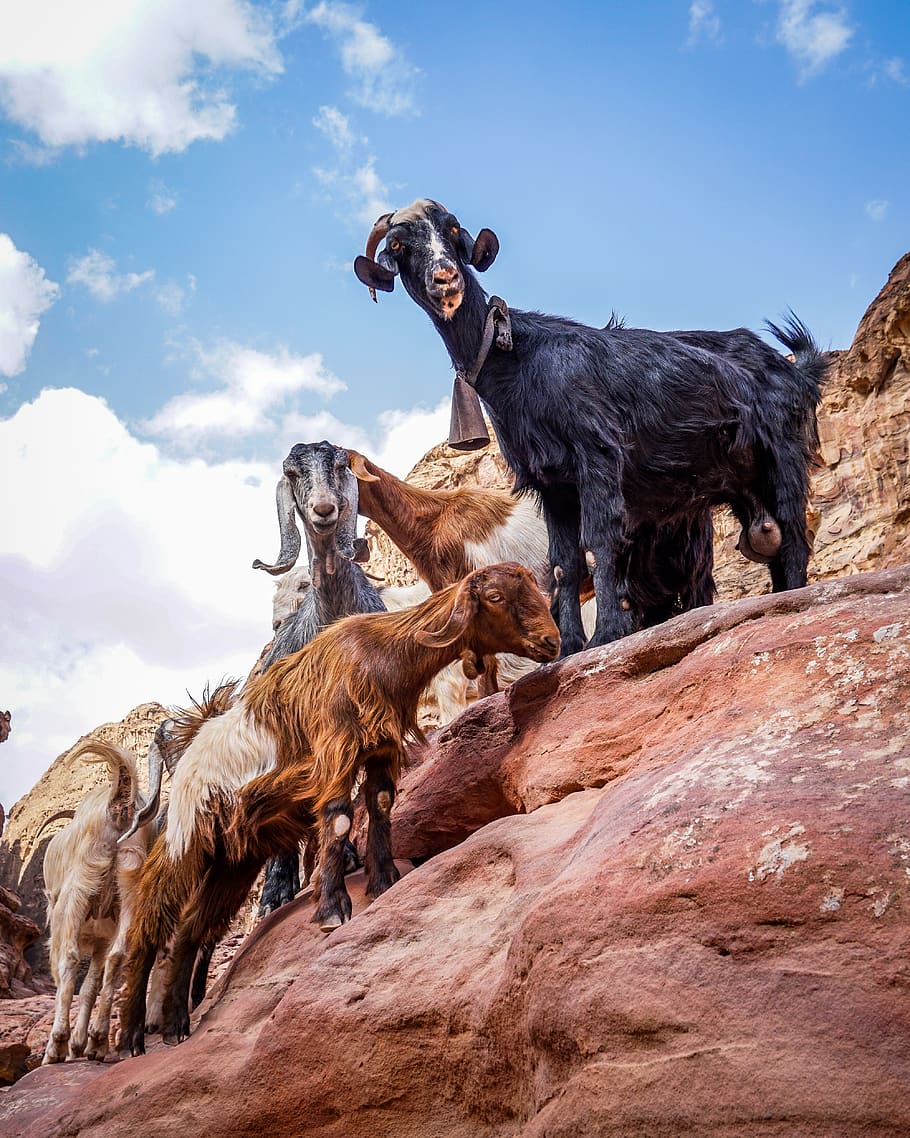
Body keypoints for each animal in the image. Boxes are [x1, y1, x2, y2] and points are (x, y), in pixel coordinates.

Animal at [41, 741, 156, 1064]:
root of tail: (120, 805)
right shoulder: (101, 939)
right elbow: (92, 984)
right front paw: (82, 1044)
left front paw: (70, 1045)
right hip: (130, 882)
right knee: (118, 957)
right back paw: (98, 1042)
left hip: (77, 891)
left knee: (68, 958)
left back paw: (57, 1046)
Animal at [117, 562, 559, 1054]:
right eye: (496, 596)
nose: (552, 642)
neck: (380, 655)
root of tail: (191, 751)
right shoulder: (334, 753)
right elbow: (341, 819)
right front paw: (333, 909)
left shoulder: (380, 749)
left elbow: (380, 805)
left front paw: (384, 881)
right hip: (186, 839)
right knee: (149, 927)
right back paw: (132, 1036)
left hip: (234, 858)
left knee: (192, 928)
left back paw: (176, 1025)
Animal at [354, 199, 828, 655]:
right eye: (398, 246)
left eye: (453, 230)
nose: (446, 279)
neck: (519, 357)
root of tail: (796, 371)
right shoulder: (551, 482)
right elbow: (564, 563)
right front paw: (567, 646)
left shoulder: (596, 454)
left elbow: (600, 543)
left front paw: (606, 635)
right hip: (742, 483)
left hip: (782, 454)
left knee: (791, 534)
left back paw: (790, 599)